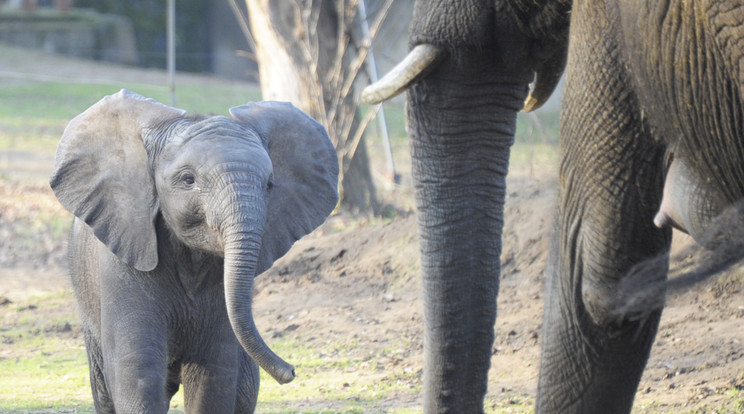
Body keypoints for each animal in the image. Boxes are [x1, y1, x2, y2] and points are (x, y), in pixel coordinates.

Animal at [51, 89, 340, 412]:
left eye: (269, 185)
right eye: (188, 180)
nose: (290, 371)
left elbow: (212, 375)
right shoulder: (121, 258)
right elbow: (137, 371)